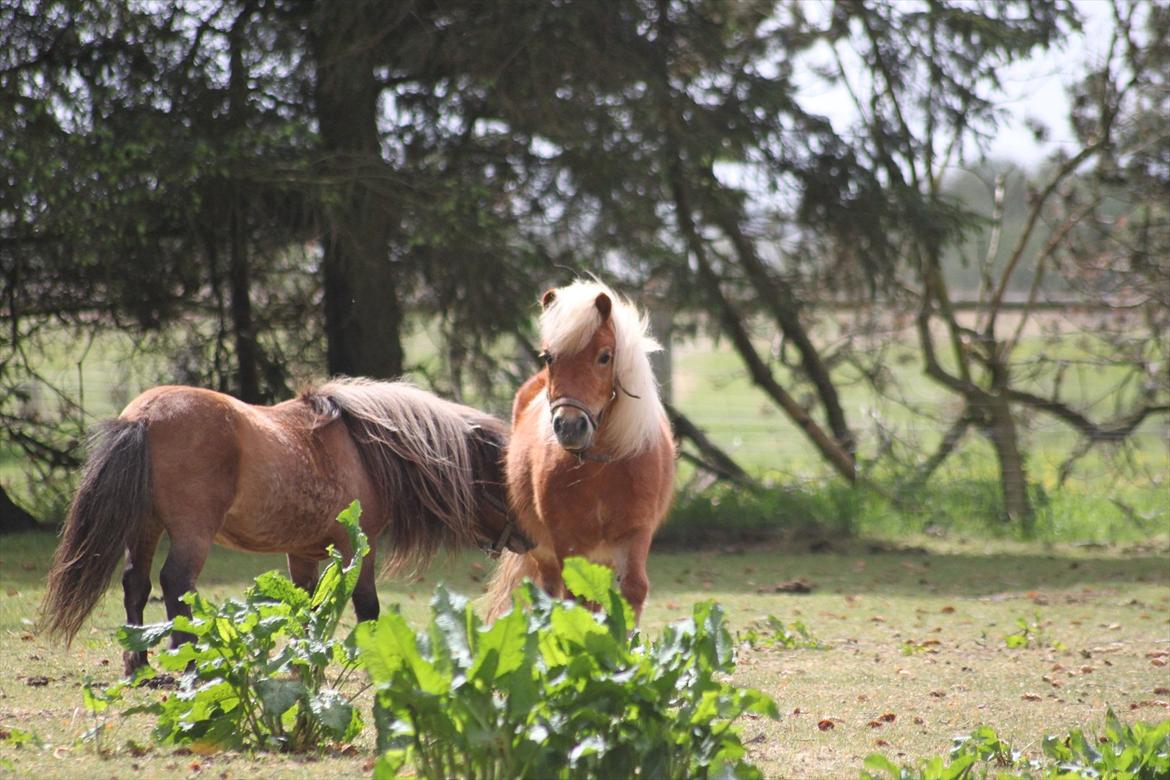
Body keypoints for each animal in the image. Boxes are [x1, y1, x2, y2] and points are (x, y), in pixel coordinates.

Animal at [41, 374, 533, 673]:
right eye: (503, 476)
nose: (529, 537)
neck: (361, 446)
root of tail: (143, 416)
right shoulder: (359, 546)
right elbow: (367, 606)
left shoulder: (304, 552)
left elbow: (308, 608)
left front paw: (304, 660)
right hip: (189, 534)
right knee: (175, 584)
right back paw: (188, 659)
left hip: (144, 528)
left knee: (136, 584)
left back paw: (139, 663)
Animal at [484, 280, 673, 622]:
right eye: (548, 357)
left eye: (605, 356)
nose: (570, 426)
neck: (601, 466)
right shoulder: (568, 543)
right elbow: (574, 598)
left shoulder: (636, 535)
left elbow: (633, 590)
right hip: (545, 552)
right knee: (550, 590)